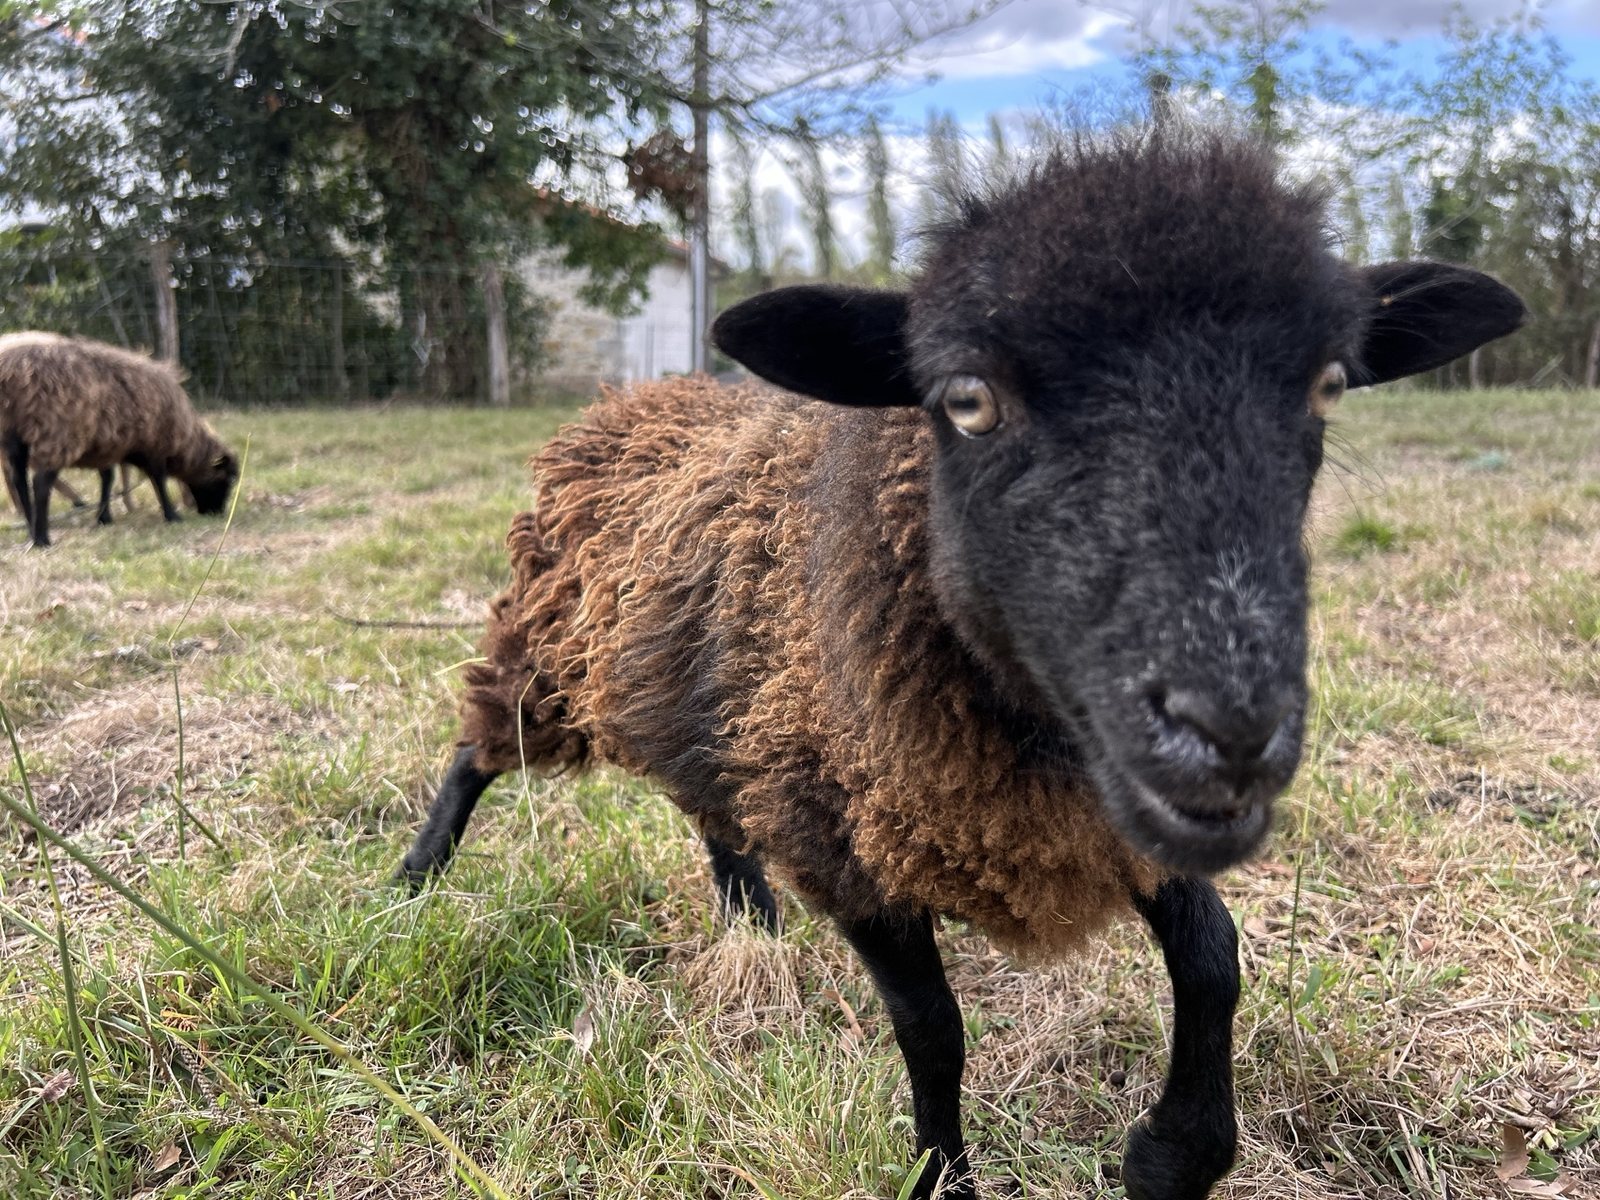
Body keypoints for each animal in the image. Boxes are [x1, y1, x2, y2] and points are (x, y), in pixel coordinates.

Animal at [0, 332, 239, 547]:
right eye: (226, 480)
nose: (217, 514)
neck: (185, 441)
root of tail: (10, 367)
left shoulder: (109, 445)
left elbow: (108, 477)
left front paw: (104, 517)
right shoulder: (153, 446)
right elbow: (158, 479)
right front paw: (171, 515)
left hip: (13, 435)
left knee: (18, 481)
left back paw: (31, 528)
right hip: (56, 432)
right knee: (40, 483)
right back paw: (42, 539)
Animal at [396, 128, 1525, 1200]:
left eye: (1329, 385)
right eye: (967, 400)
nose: (1231, 734)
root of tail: (622, 398)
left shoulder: (1118, 810)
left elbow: (1214, 961)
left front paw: (1169, 1158)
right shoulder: (848, 844)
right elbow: (934, 1033)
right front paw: (943, 1175)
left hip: (699, 694)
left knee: (709, 800)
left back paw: (749, 918)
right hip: (548, 658)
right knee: (475, 751)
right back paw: (413, 882)